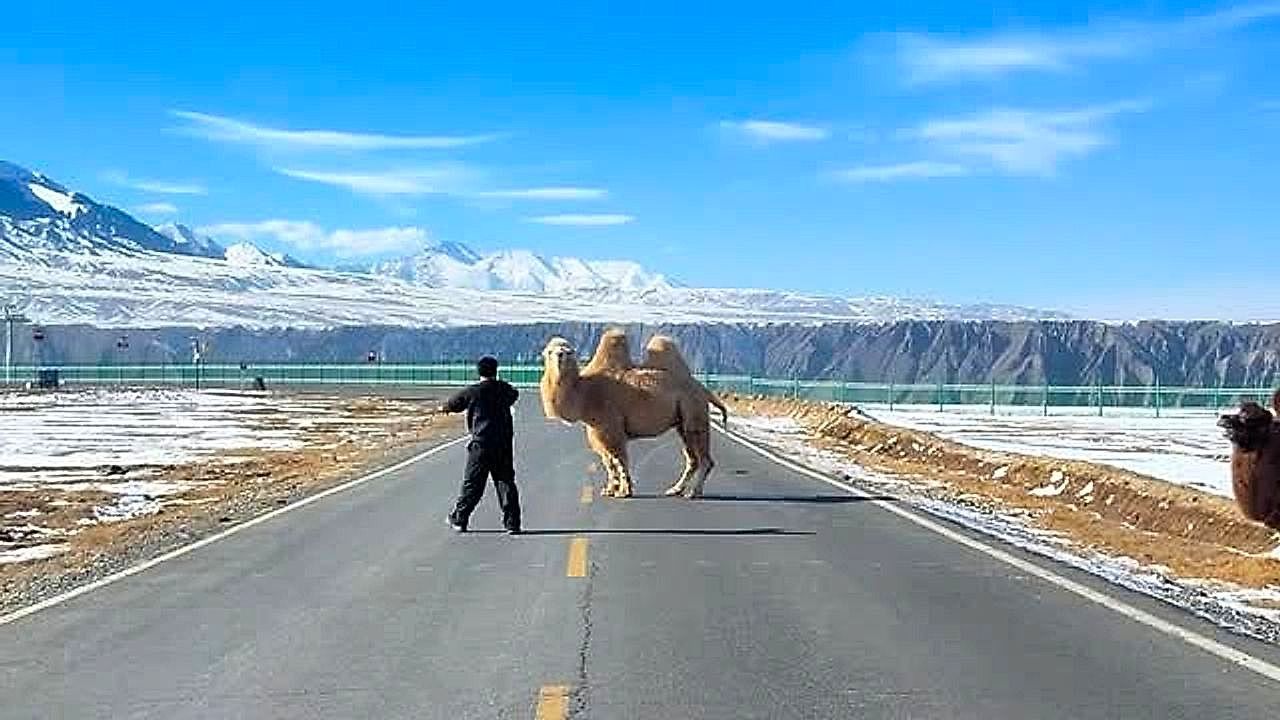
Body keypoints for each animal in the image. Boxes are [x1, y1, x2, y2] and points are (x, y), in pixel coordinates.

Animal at [540, 333, 725, 498]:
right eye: (550, 351)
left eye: (569, 351)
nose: (560, 355)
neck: (585, 393)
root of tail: (702, 388)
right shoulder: (597, 431)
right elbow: (609, 462)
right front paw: (610, 490)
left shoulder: (610, 428)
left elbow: (619, 460)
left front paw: (624, 491)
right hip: (682, 422)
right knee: (692, 458)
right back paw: (675, 490)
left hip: (694, 410)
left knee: (704, 457)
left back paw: (693, 492)